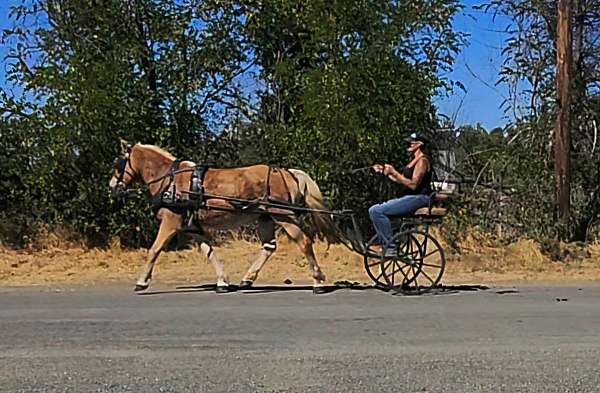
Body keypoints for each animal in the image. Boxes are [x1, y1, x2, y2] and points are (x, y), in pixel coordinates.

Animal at [107, 139, 338, 292]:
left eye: (118, 163)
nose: (112, 186)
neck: (169, 179)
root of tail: (286, 172)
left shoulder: (171, 222)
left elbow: (154, 250)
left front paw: (141, 282)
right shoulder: (191, 227)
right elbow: (208, 251)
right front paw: (222, 281)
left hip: (283, 215)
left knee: (304, 242)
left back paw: (318, 281)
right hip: (265, 218)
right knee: (269, 247)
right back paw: (247, 279)